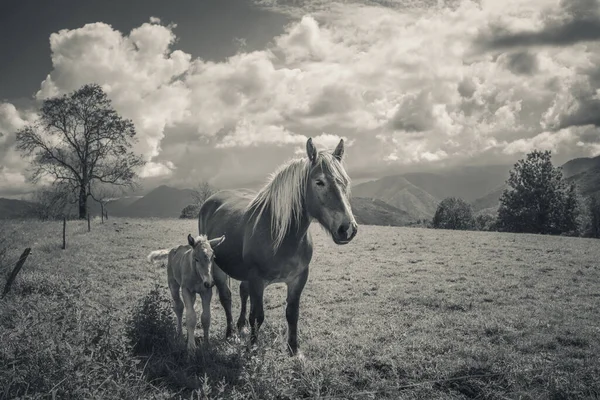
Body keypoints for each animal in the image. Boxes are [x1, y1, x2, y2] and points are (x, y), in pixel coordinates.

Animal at [198, 138, 356, 356]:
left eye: (345, 182)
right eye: (319, 182)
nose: (347, 228)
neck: (282, 236)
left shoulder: (298, 278)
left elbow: (292, 313)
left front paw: (294, 350)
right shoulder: (257, 280)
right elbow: (258, 316)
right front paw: (253, 348)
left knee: (242, 292)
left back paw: (241, 326)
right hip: (217, 267)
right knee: (226, 298)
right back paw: (231, 334)